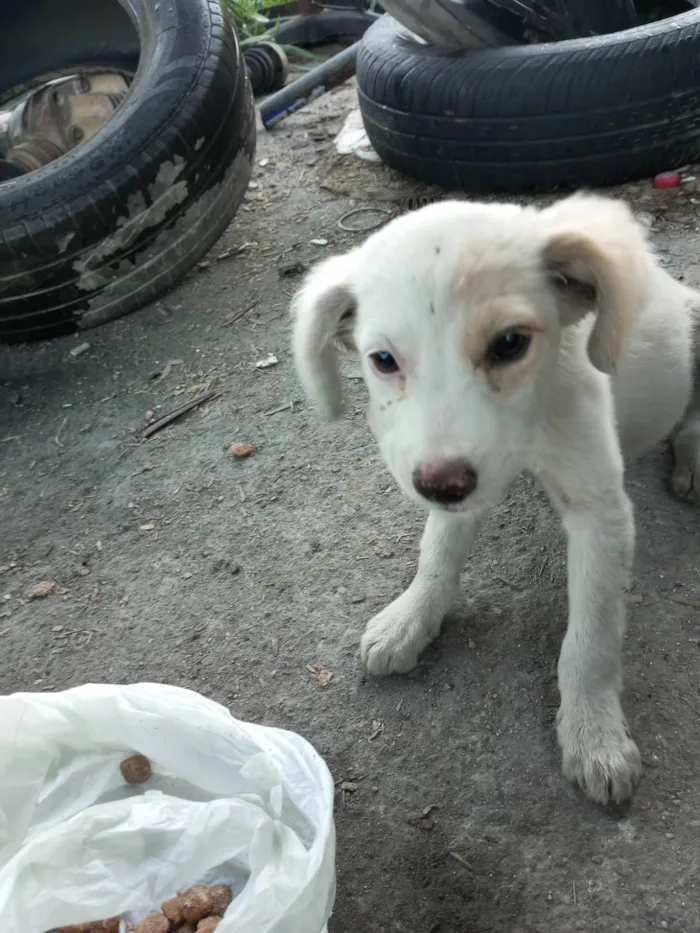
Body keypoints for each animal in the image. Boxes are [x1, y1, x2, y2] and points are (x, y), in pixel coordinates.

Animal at [290, 193, 700, 804]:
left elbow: (592, 636)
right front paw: (411, 617)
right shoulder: (452, 473)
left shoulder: (599, 509)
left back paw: (692, 457)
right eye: (383, 360)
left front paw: (594, 735)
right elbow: (437, 553)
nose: (440, 486)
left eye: (509, 344)